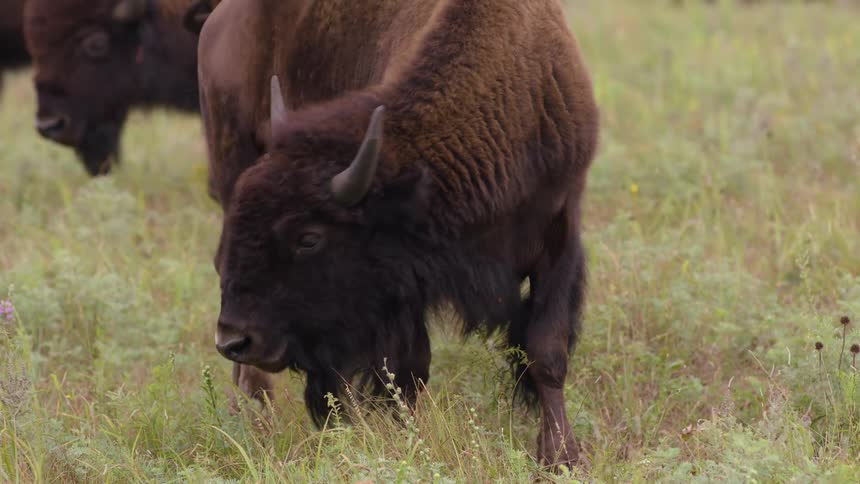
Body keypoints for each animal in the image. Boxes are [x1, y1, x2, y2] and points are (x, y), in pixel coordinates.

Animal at [202, 0, 599, 467]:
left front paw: (561, 457)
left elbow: (546, 353)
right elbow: (407, 372)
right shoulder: (402, 288)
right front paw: (411, 445)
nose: (233, 339)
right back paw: (253, 411)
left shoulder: (559, 236)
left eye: (309, 238)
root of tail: (220, 21)